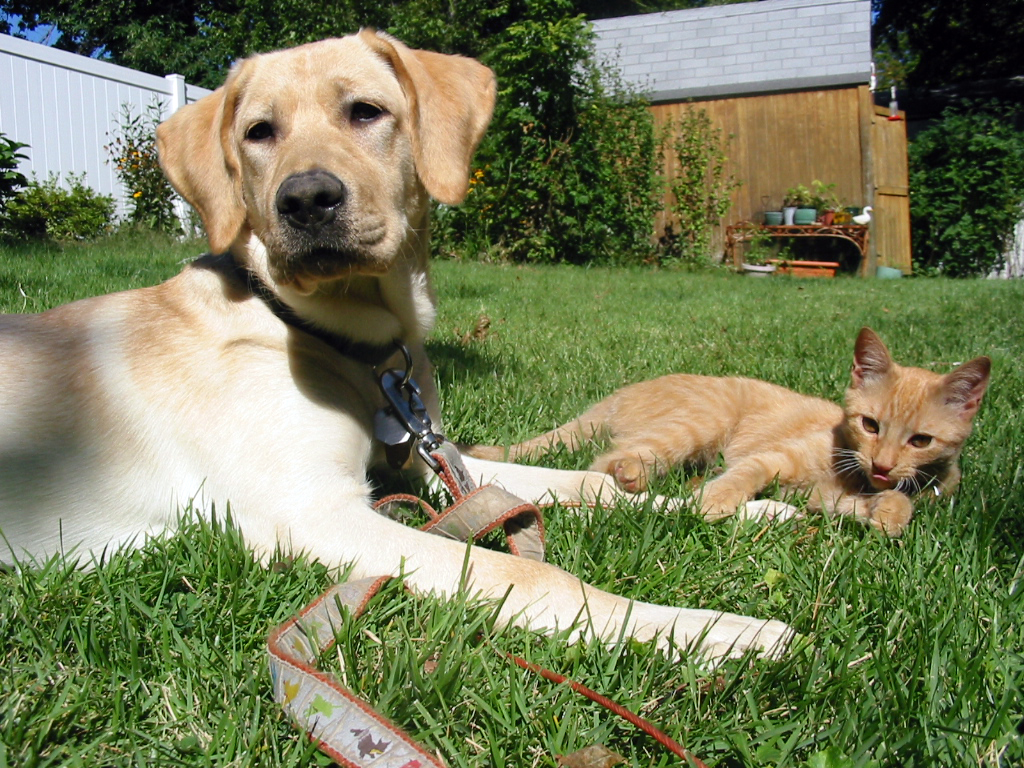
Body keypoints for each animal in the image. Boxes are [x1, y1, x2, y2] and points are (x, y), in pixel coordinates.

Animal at [0, 31, 790, 663]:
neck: (352, 347)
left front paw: (736, 509)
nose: (306, 200)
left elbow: (591, 484)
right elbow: (528, 572)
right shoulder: (312, 512)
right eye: (259, 131)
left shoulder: (436, 459)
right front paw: (715, 630)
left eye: (365, 112)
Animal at [471, 329, 991, 536]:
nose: (883, 465)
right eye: (870, 424)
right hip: (701, 423)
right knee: (606, 468)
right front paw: (716, 501)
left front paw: (890, 513)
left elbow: (892, 503)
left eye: (920, 441)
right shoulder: (775, 458)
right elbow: (746, 474)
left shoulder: (826, 498)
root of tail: (621, 394)